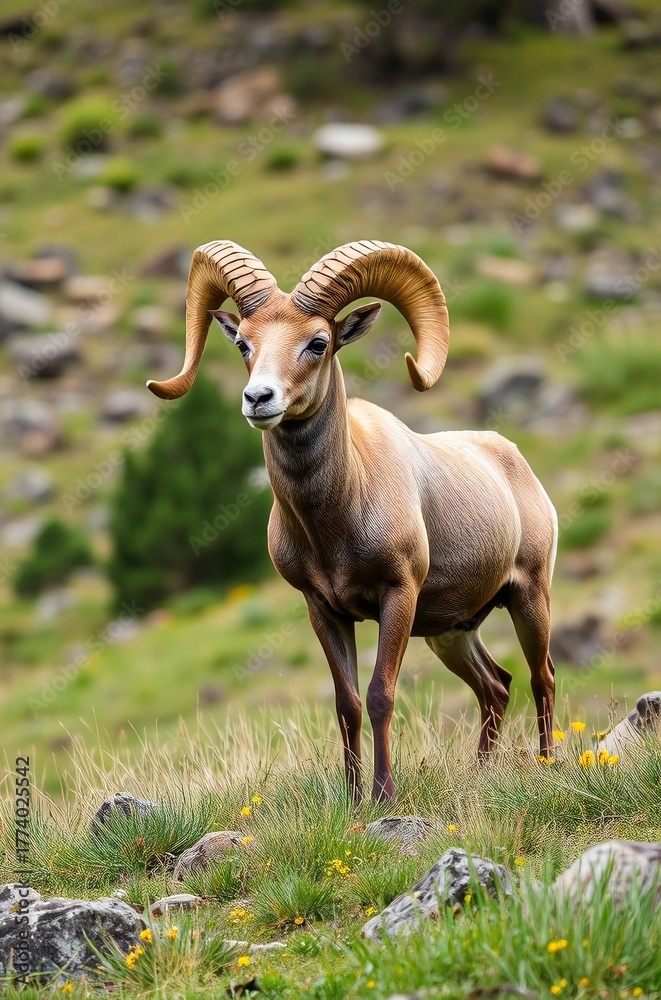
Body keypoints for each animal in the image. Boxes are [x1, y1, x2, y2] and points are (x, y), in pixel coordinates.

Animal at [147, 239, 558, 801]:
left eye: (318, 343)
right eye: (244, 345)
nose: (258, 400)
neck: (336, 521)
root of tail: (514, 460)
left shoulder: (397, 598)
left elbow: (381, 694)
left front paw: (384, 794)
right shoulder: (325, 609)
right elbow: (348, 705)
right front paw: (352, 797)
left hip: (528, 597)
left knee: (543, 678)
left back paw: (549, 764)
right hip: (451, 633)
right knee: (496, 687)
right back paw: (481, 774)